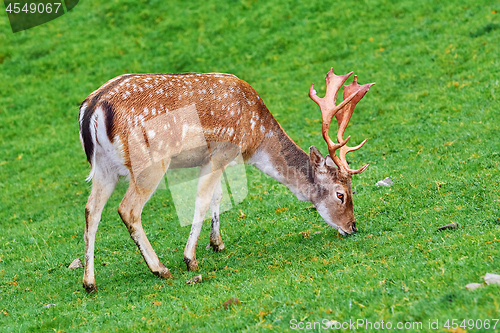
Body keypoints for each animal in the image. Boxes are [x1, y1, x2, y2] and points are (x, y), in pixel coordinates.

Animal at [79, 67, 376, 290]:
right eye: (341, 194)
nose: (352, 227)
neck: (256, 136)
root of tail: (92, 108)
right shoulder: (222, 150)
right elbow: (201, 200)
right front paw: (190, 259)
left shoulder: (214, 158)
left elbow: (218, 195)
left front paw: (217, 243)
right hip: (150, 162)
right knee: (128, 209)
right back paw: (160, 268)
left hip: (103, 167)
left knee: (91, 209)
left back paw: (89, 282)